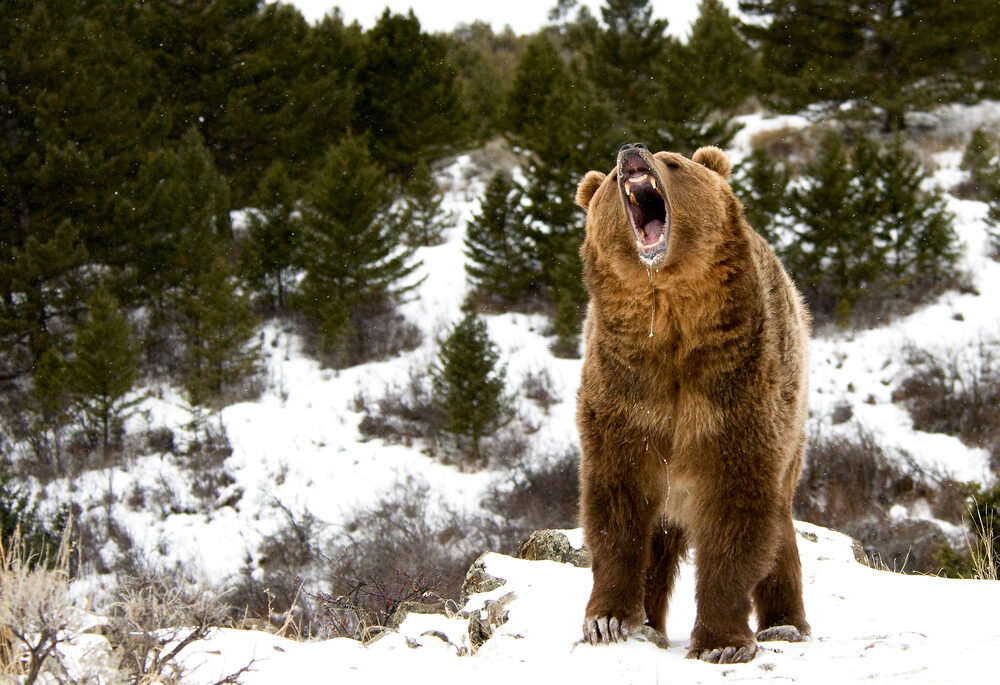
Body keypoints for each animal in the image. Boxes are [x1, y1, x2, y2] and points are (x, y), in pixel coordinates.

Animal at [574, 142, 811, 664]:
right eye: (608, 183)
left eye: (674, 162)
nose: (631, 151)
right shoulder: (627, 394)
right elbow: (616, 506)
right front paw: (607, 620)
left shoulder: (733, 393)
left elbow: (736, 513)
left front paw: (721, 642)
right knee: (659, 543)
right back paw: (651, 623)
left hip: (792, 425)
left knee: (780, 530)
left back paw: (785, 625)